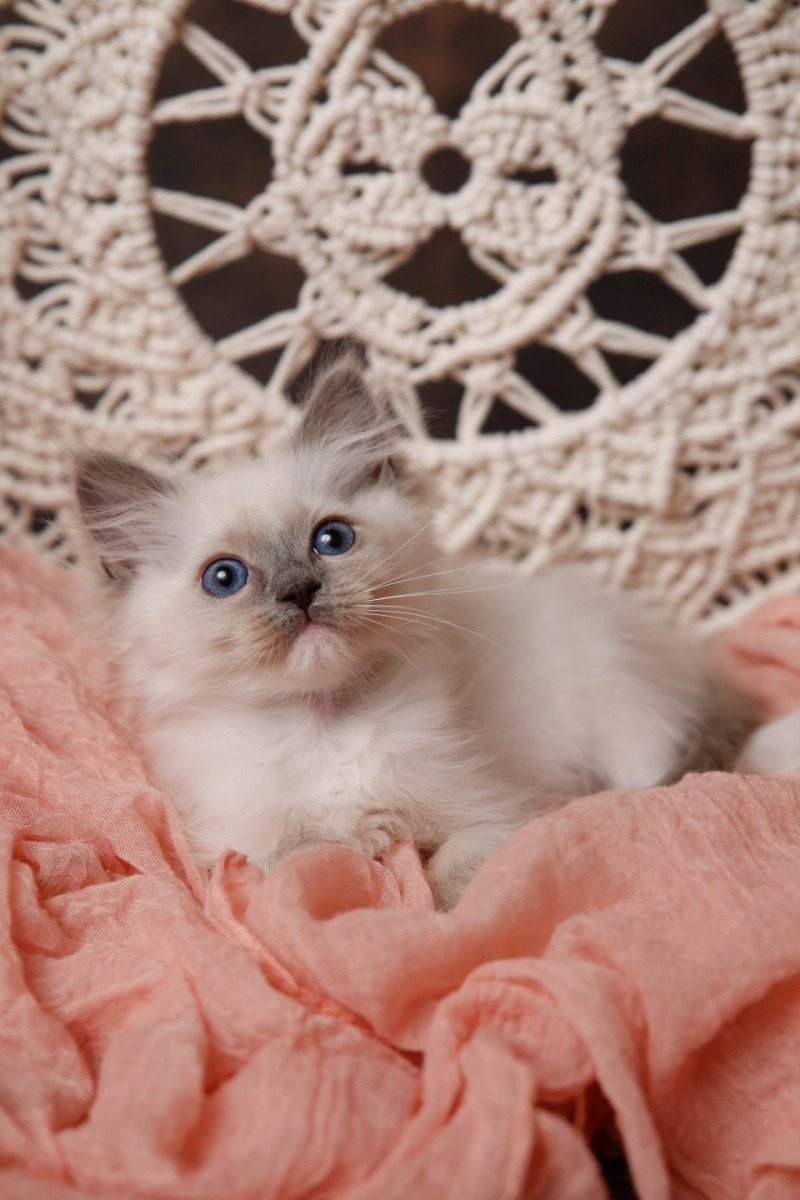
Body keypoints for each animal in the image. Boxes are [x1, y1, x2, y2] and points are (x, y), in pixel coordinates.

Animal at [73, 355, 796, 907]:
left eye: (330, 540)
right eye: (225, 578)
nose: (300, 591)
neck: (324, 726)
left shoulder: (494, 813)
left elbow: (450, 879)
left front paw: (438, 930)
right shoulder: (246, 848)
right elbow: (309, 860)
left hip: (624, 717)